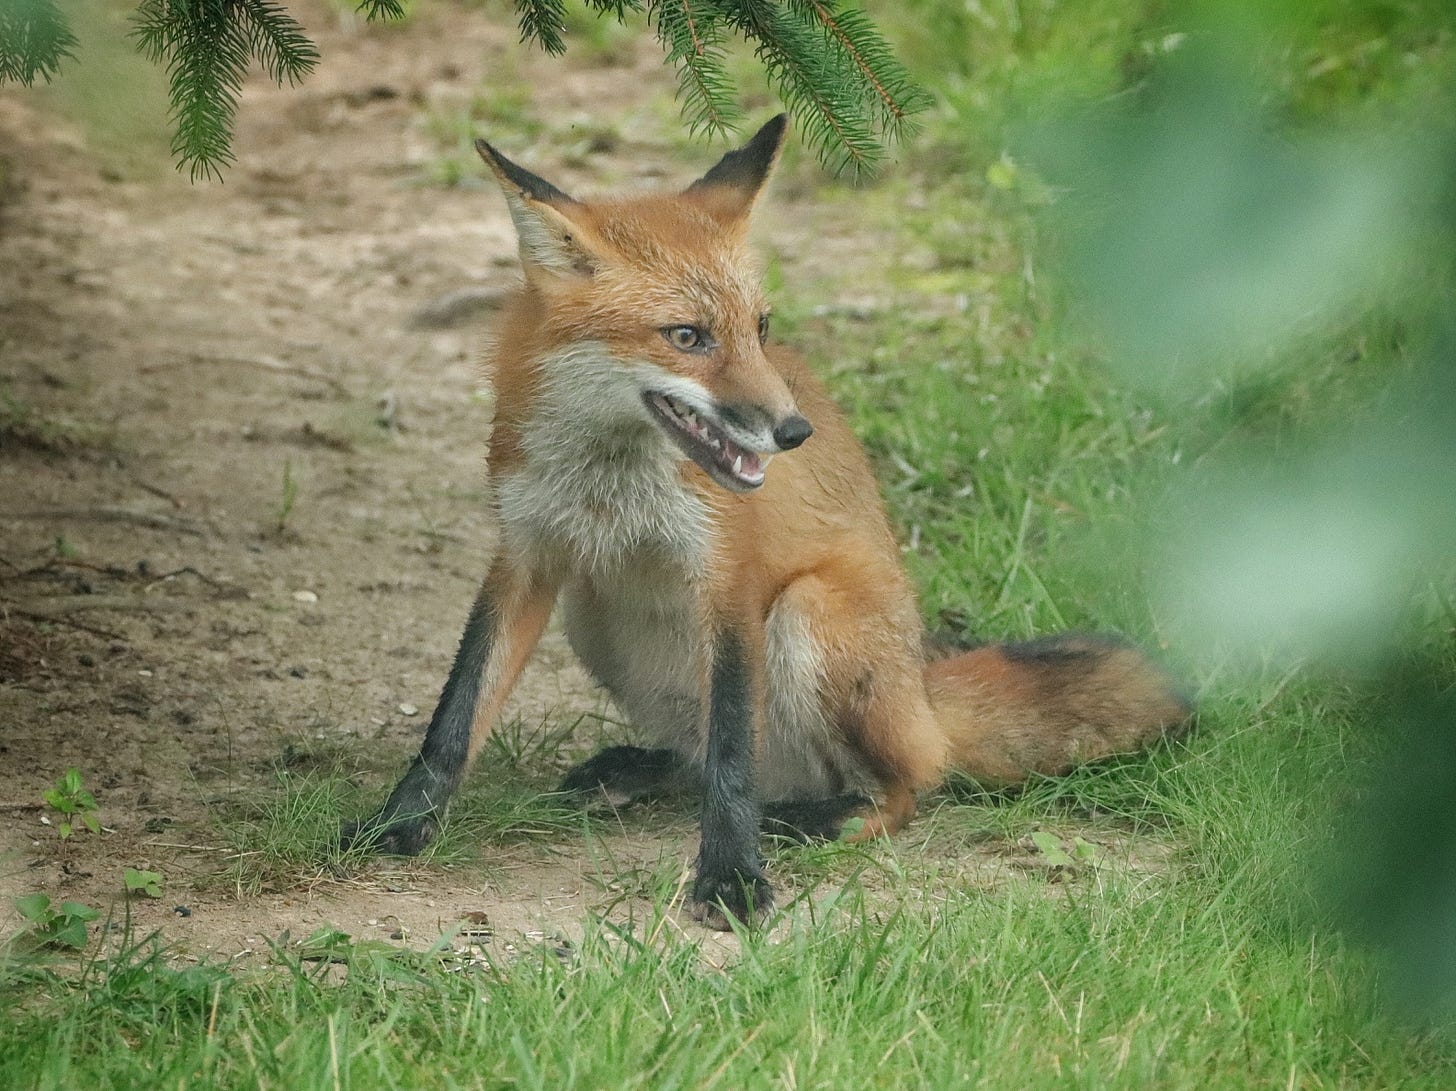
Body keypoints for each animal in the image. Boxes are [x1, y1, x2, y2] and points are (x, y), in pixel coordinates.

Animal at [346, 115, 1191, 929]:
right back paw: (639, 770)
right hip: (594, 616)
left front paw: (731, 875)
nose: (792, 432)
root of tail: (924, 691)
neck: (609, 480)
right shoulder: (526, 552)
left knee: (907, 786)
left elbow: (731, 755)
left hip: (812, 613)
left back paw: (823, 817)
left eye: (760, 326)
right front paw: (398, 823)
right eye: (687, 336)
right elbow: (455, 716)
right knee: (703, 755)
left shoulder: (727, 574)